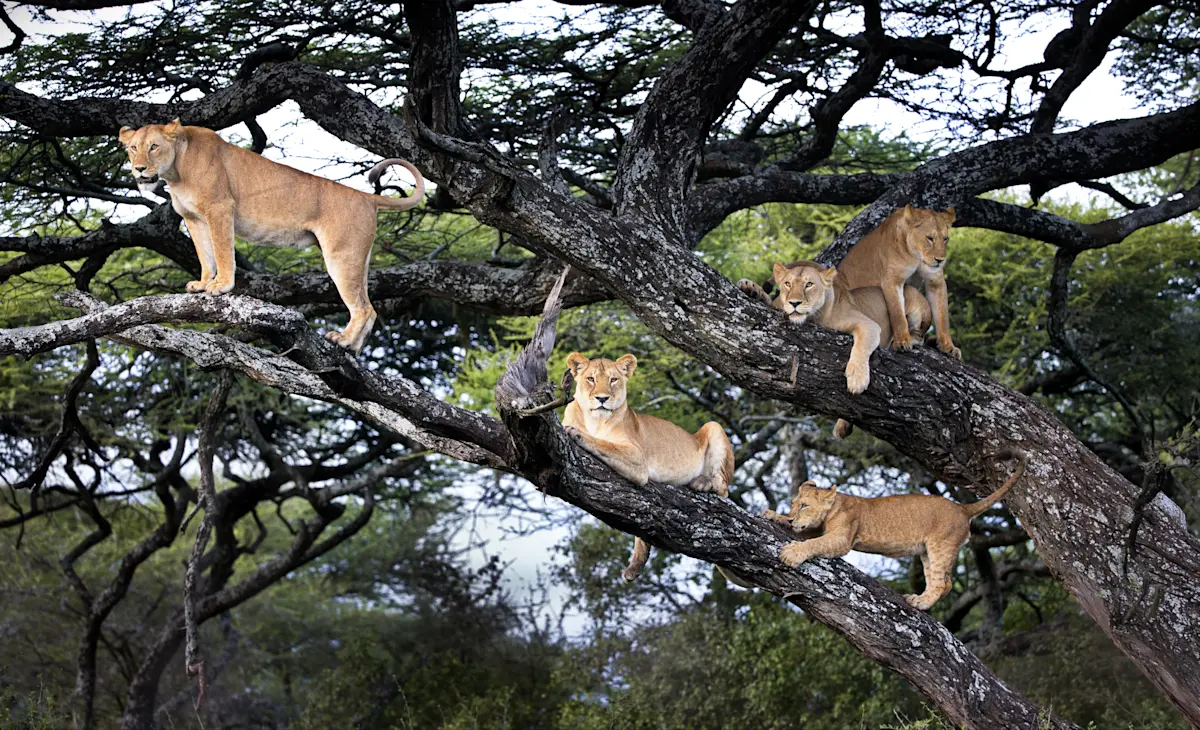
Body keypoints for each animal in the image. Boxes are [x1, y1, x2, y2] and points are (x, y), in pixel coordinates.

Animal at [118, 119, 425, 353]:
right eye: (133, 148)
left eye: (154, 146)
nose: (139, 169)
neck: (176, 170)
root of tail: (366, 197)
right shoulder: (194, 219)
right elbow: (205, 255)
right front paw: (203, 283)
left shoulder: (220, 207)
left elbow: (222, 251)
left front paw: (220, 286)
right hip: (358, 258)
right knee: (369, 307)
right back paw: (353, 348)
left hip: (342, 255)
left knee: (363, 308)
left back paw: (344, 341)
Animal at [561, 352, 735, 581]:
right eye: (591, 379)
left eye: (613, 380)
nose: (602, 398)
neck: (594, 420)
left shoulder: (637, 458)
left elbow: (604, 443)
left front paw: (577, 433)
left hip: (713, 426)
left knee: (723, 488)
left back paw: (703, 482)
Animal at [762, 450, 1026, 610]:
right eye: (793, 504)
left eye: (804, 505)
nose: (793, 518)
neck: (835, 505)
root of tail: (962, 508)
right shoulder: (818, 530)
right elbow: (805, 534)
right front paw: (774, 516)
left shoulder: (842, 538)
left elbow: (813, 543)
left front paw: (791, 553)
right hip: (926, 552)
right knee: (942, 582)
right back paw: (918, 599)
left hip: (941, 545)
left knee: (943, 584)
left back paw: (920, 604)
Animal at [837, 205, 959, 358]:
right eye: (930, 238)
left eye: (945, 239)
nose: (940, 260)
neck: (917, 256)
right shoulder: (893, 280)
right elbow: (897, 314)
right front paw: (902, 342)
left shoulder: (935, 282)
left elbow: (943, 317)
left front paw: (948, 346)